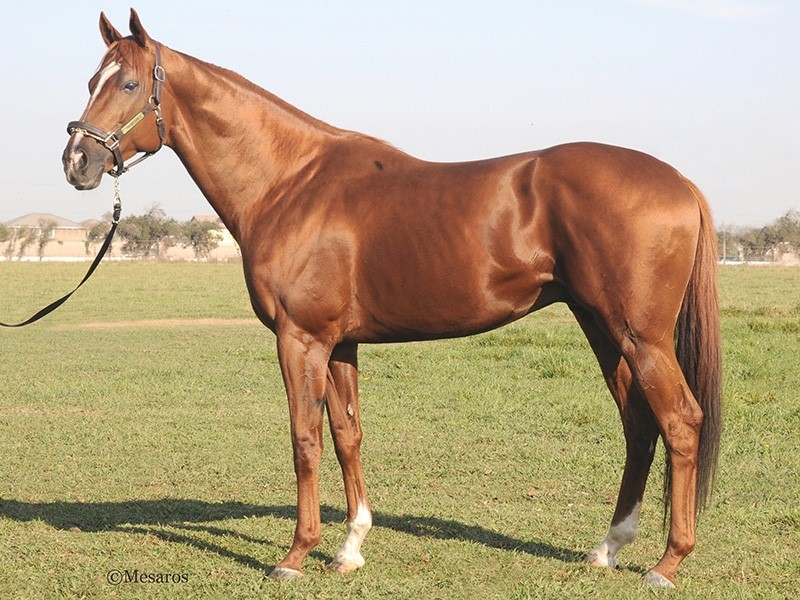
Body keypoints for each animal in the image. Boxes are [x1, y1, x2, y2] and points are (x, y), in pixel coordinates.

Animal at [62, 10, 721, 589]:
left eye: (127, 83)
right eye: (92, 81)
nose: (77, 161)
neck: (290, 182)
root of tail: (680, 181)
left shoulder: (300, 339)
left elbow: (304, 440)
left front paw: (295, 555)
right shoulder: (339, 344)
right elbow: (346, 435)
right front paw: (349, 547)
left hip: (639, 335)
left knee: (680, 422)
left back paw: (667, 563)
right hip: (602, 328)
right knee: (639, 425)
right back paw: (608, 548)